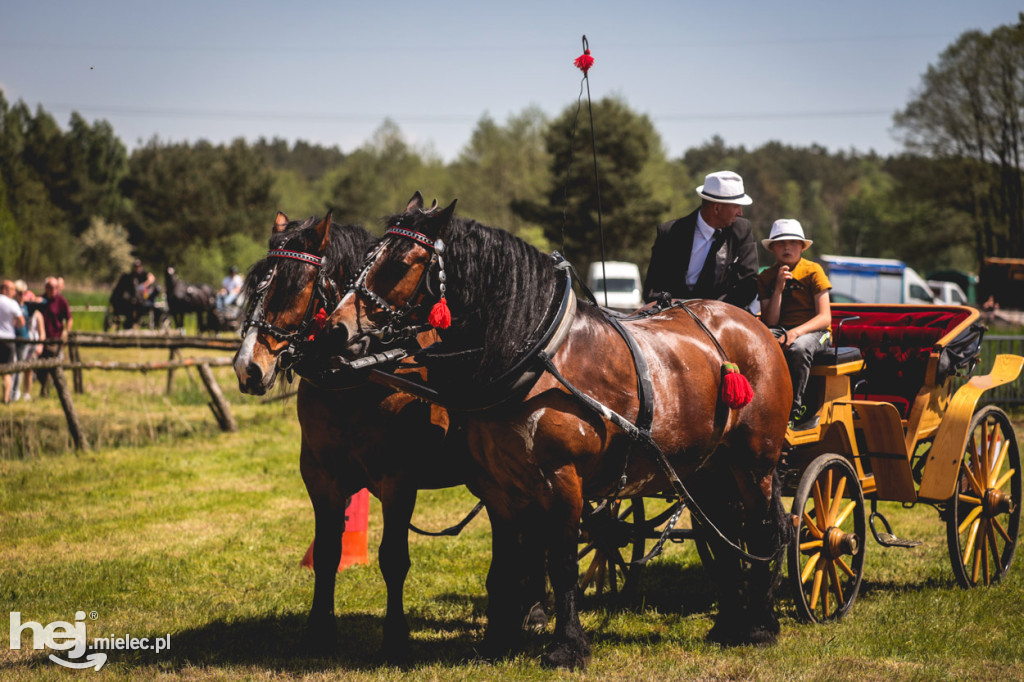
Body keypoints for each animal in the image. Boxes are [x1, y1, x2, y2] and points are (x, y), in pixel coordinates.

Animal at [234, 214, 548, 659]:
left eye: (293, 285)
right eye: (255, 286)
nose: (248, 368)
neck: (359, 372)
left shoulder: (398, 480)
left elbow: (393, 558)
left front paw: (396, 638)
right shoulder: (321, 477)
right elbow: (327, 554)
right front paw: (319, 632)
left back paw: (533, 610)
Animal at [327, 193, 790, 667]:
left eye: (401, 263)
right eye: (366, 258)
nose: (337, 328)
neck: (538, 357)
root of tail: (757, 327)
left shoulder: (563, 479)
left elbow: (562, 562)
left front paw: (567, 646)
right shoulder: (498, 486)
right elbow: (507, 564)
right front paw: (498, 639)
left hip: (755, 462)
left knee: (763, 532)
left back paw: (760, 625)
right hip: (706, 468)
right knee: (721, 534)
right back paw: (728, 623)